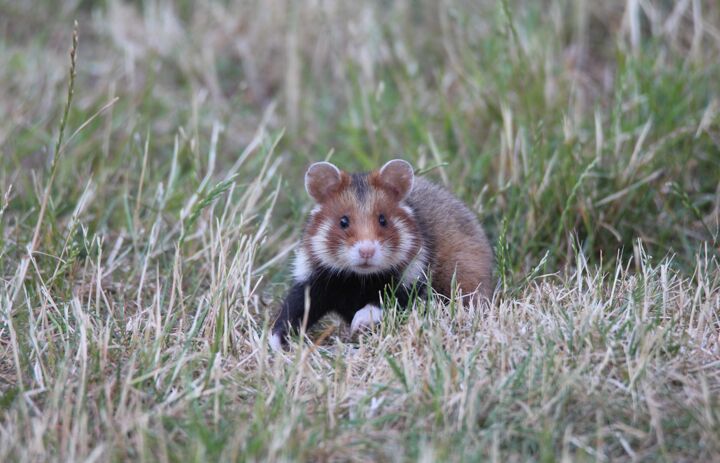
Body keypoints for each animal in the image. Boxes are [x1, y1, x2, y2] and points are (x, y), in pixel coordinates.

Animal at [270, 158, 496, 350]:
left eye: (383, 219)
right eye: (343, 221)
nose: (366, 251)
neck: (357, 280)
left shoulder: (410, 281)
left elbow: (385, 301)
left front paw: (359, 322)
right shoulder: (314, 280)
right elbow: (293, 311)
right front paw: (274, 344)